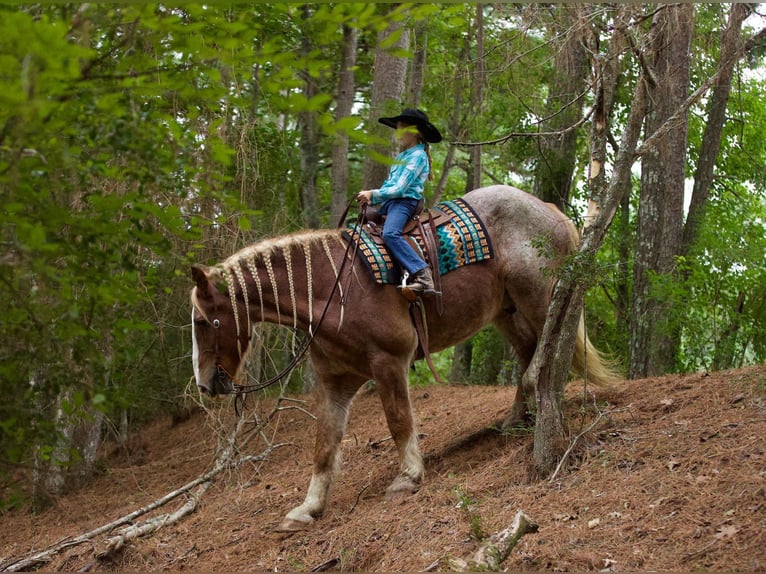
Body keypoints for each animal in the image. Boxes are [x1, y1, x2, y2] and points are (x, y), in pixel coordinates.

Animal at [190, 184, 616, 532]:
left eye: (204, 321)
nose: (205, 384)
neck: (334, 290)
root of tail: (548, 208)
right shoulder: (334, 383)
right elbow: (324, 446)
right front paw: (308, 509)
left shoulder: (389, 362)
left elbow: (398, 421)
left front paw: (408, 477)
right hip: (505, 310)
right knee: (529, 350)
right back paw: (515, 419)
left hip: (542, 295)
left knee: (553, 347)